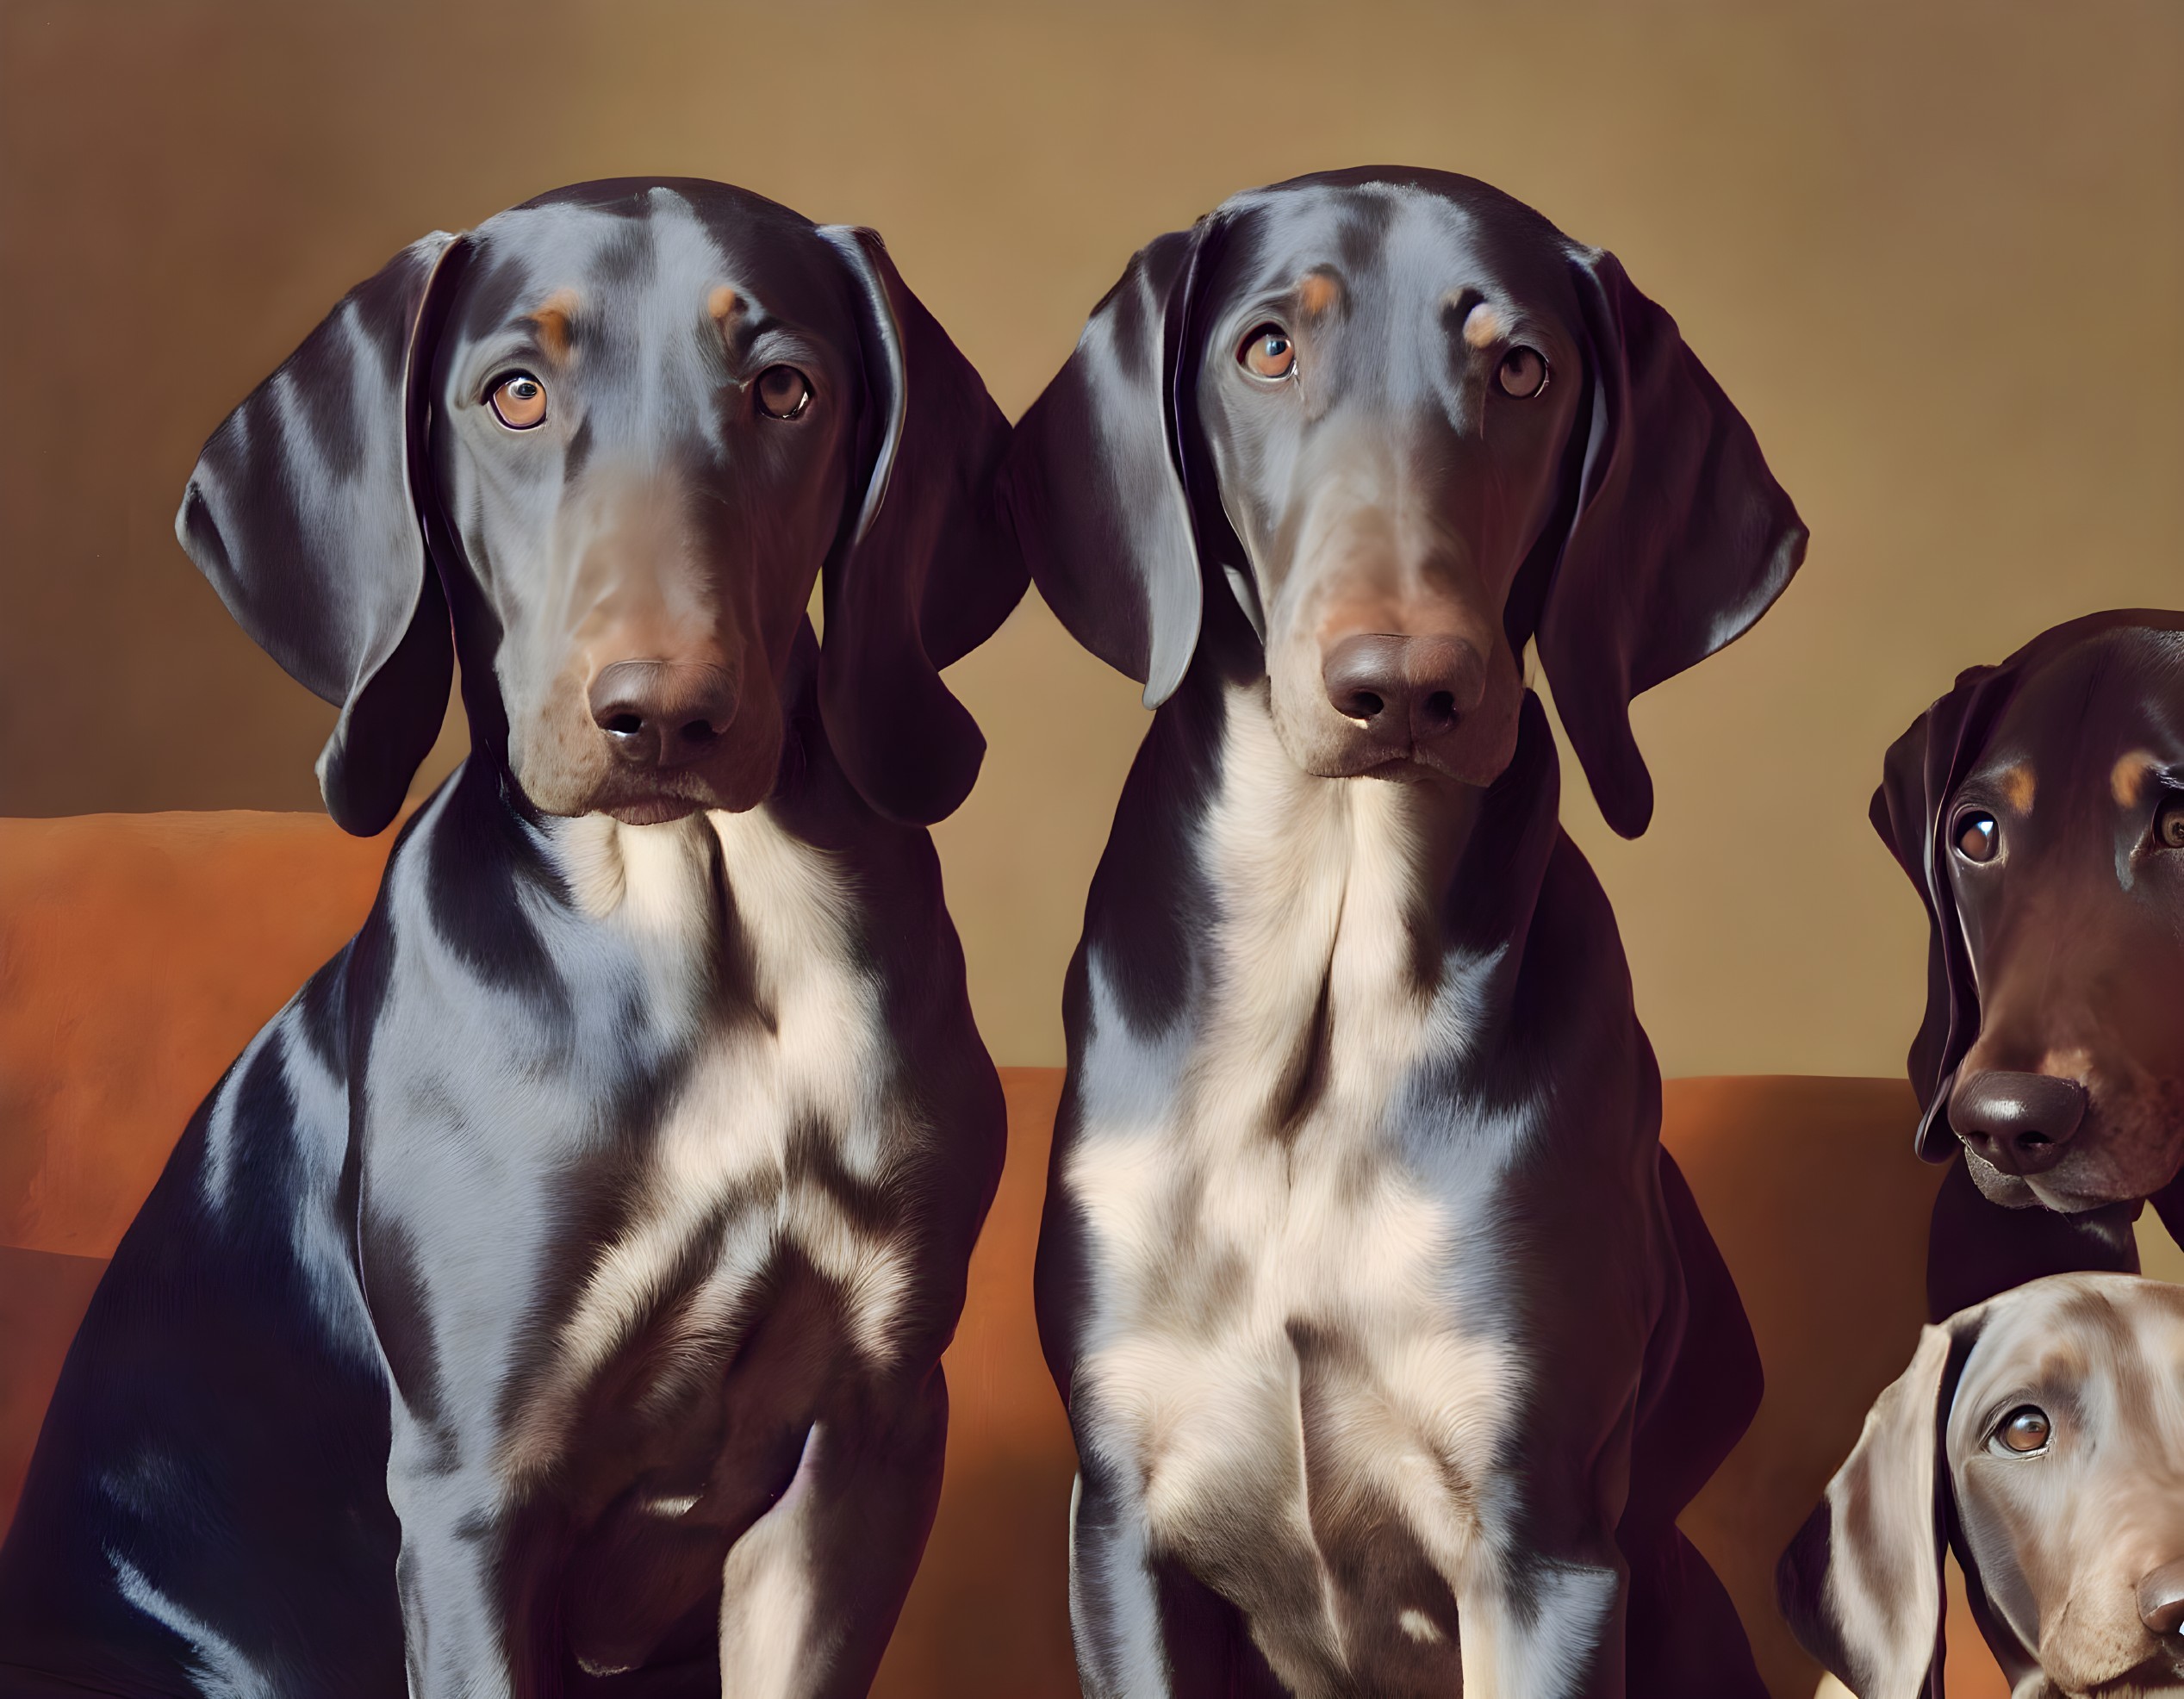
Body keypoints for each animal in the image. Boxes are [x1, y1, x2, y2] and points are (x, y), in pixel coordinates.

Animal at [0, 176, 1022, 1694]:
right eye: (516, 395)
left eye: (784, 388)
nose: (662, 716)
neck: (703, 936)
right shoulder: (476, 1484)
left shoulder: (864, 1431)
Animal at [1000, 169, 1808, 1694]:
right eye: (1266, 349)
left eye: (1522, 368)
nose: (1403, 690)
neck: (1322, 1016)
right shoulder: (1117, 1521)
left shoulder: (1544, 1551)